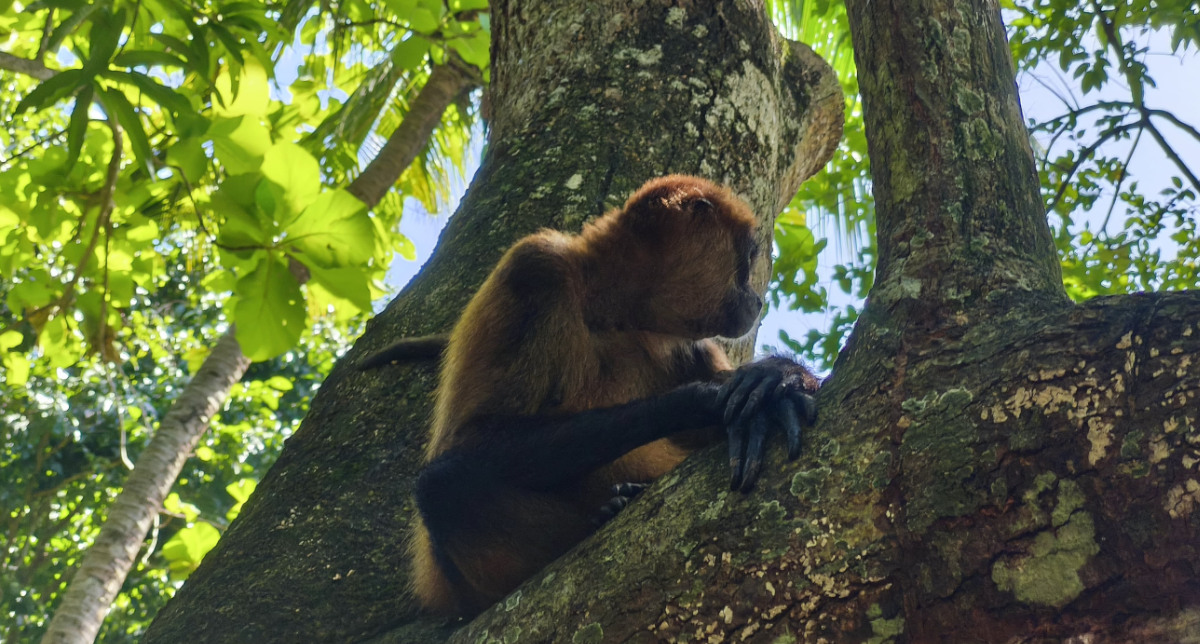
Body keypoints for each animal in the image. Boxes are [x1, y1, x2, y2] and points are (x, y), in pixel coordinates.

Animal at [409, 175, 820, 617]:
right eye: (746, 261)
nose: (756, 300)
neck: (614, 315)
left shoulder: (689, 346)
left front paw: (783, 376)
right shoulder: (536, 267)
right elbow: (470, 440)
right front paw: (710, 398)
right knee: (442, 484)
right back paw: (611, 510)